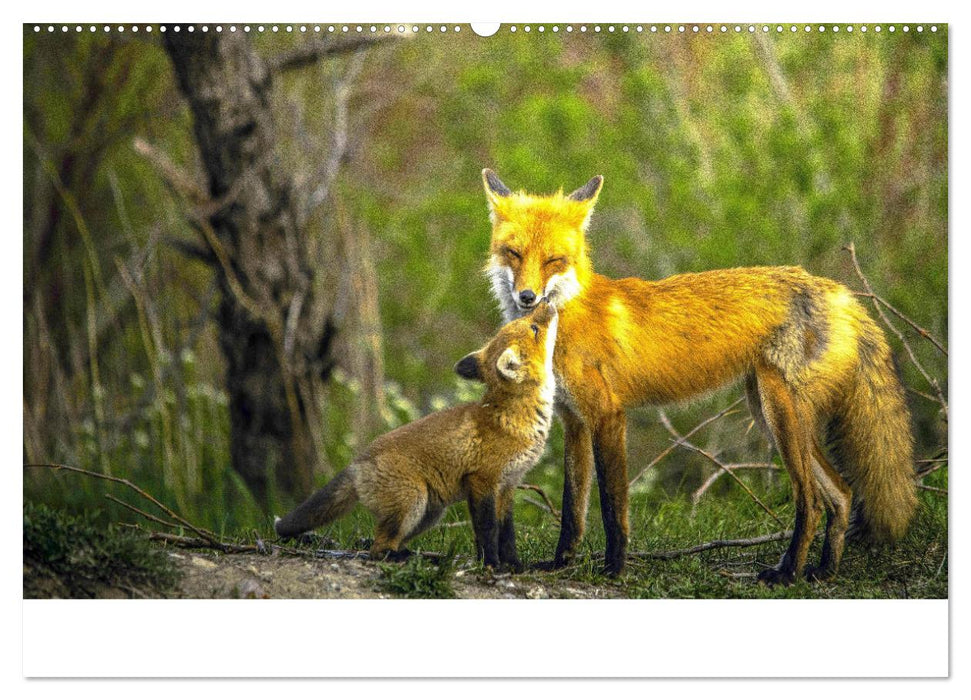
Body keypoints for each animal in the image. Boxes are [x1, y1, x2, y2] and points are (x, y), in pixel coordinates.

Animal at [278, 300, 560, 568]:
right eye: (534, 328)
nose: (544, 301)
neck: (514, 418)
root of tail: (357, 462)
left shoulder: (508, 486)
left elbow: (507, 535)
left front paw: (514, 565)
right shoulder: (482, 482)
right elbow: (487, 532)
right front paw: (491, 564)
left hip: (429, 514)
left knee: (387, 542)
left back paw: (423, 558)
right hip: (413, 502)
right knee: (377, 548)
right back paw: (402, 559)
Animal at [482, 168, 916, 580]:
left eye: (553, 260)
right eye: (514, 253)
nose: (527, 298)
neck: (566, 316)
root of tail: (840, 292)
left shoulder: (607, 415)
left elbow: (611, 505)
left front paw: (614, 569)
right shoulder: (574, 420)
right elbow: (573, 509)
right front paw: (560, 564)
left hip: (780, 414)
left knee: (810, 501)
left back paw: (787, 573)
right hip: (771, 413)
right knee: (842, 493)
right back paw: (823, 571)